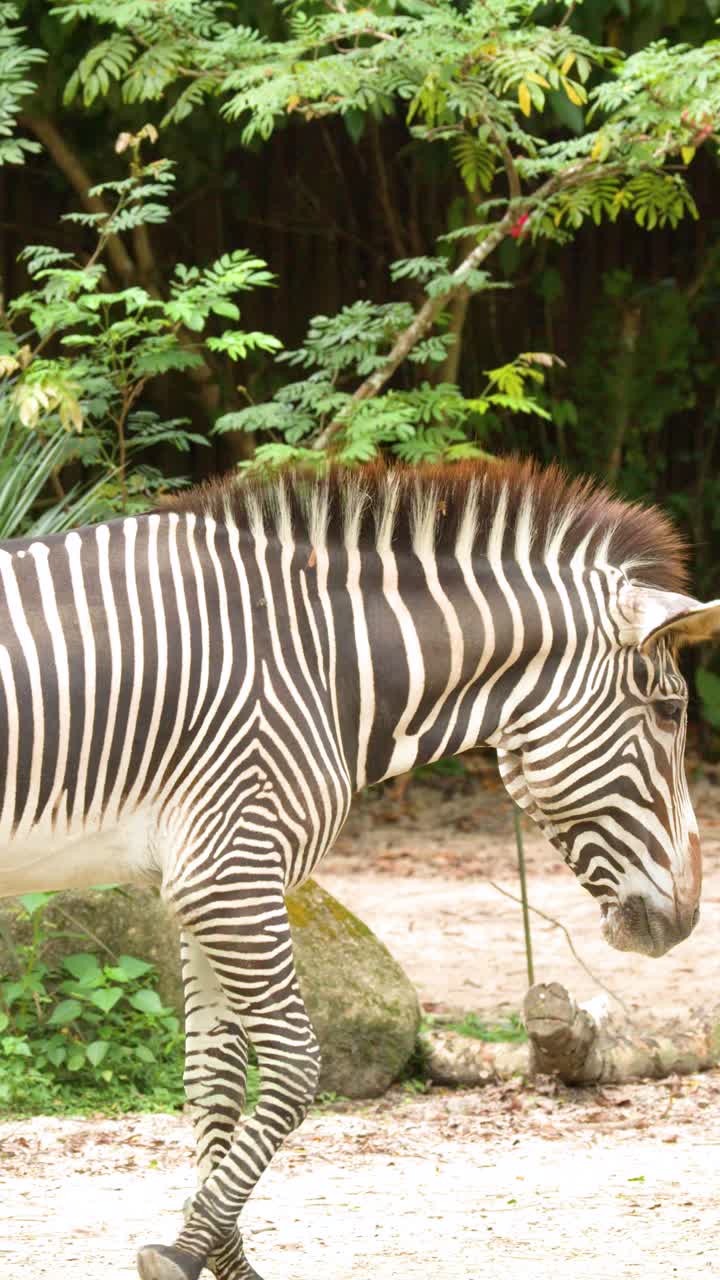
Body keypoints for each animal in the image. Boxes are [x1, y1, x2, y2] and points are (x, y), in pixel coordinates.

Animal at [0, 457, 717, 1280]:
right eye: (669, 713)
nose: (688, 917)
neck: (323, 662)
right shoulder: (232, 873)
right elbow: (294, 1068)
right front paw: (185, 1251)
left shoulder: (200, 882)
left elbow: (213, 1085)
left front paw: (218, 1256)